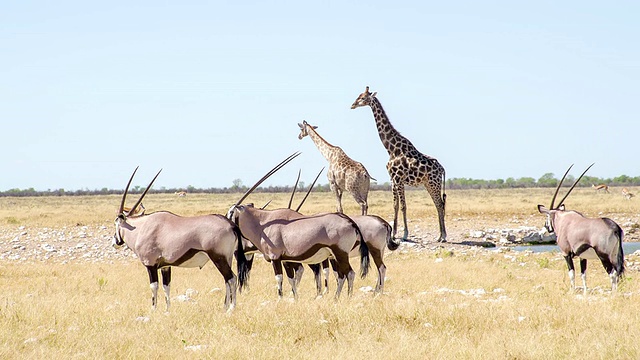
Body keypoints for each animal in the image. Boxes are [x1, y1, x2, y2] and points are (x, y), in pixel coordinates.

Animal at [348, 86, 448, 242]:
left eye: (363, 98)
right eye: (358, 96)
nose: (352, 105)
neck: (391, 148)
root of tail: (442, 169)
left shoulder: (399, 179)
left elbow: (403, 206)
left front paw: (405, 234)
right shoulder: (393, 179)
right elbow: (395, 205)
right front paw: (394, 233)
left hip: (433, 183)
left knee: (439, 204)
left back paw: (443, 236)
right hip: (428, 184)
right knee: (439, 204)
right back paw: (440, 235)